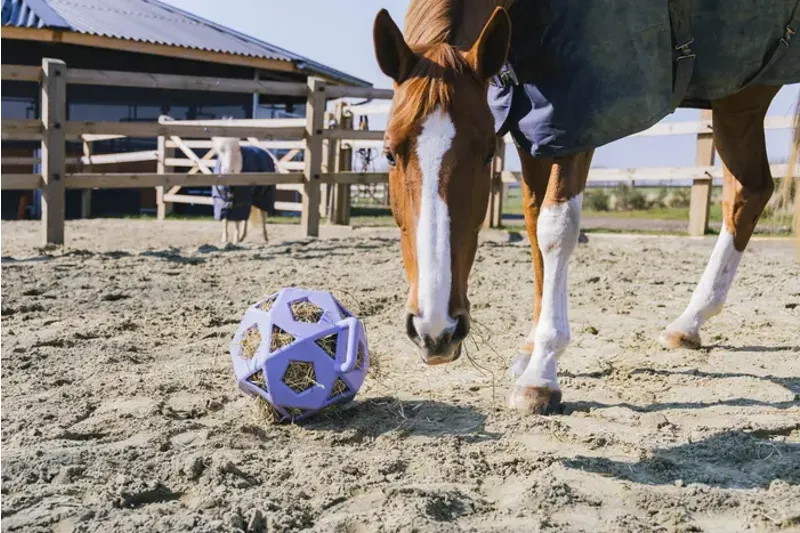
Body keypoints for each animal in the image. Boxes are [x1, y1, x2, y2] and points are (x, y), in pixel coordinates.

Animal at [372, 0, 800, 414]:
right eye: (389, 153)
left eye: (488, 153)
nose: (436, 332)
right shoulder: (535, 128)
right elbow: (533, 225)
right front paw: (530, 349)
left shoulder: (577, 121)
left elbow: (556, 229)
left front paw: (541, 373)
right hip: (737, 100)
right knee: (749, 191)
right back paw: (689, 324)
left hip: (741, 98)